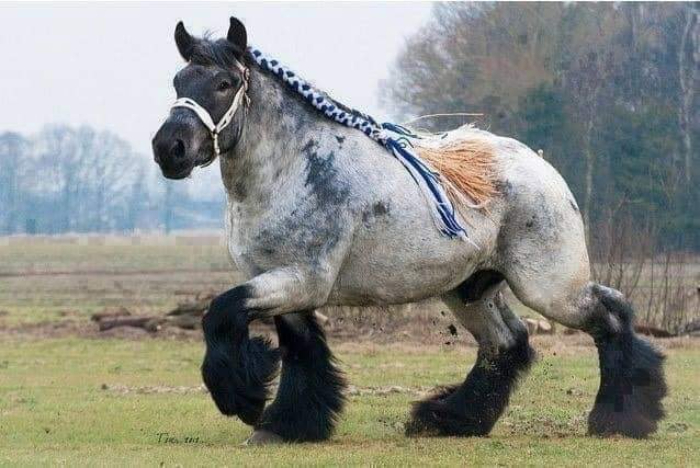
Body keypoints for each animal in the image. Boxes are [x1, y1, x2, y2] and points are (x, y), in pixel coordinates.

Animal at [152, 17, 667, 444]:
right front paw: (286, 426)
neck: (290, 168)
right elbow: (300, 351)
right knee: (506, 342)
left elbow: (220, 313)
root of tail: (542, 167)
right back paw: (449, 420)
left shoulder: (300, 279)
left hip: (550, 287)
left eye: (223, 83)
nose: (169, 148)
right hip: (470, 289)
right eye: (177, 81)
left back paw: (619, 418)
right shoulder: (284, 285)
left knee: (611, 315)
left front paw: (243, 399)